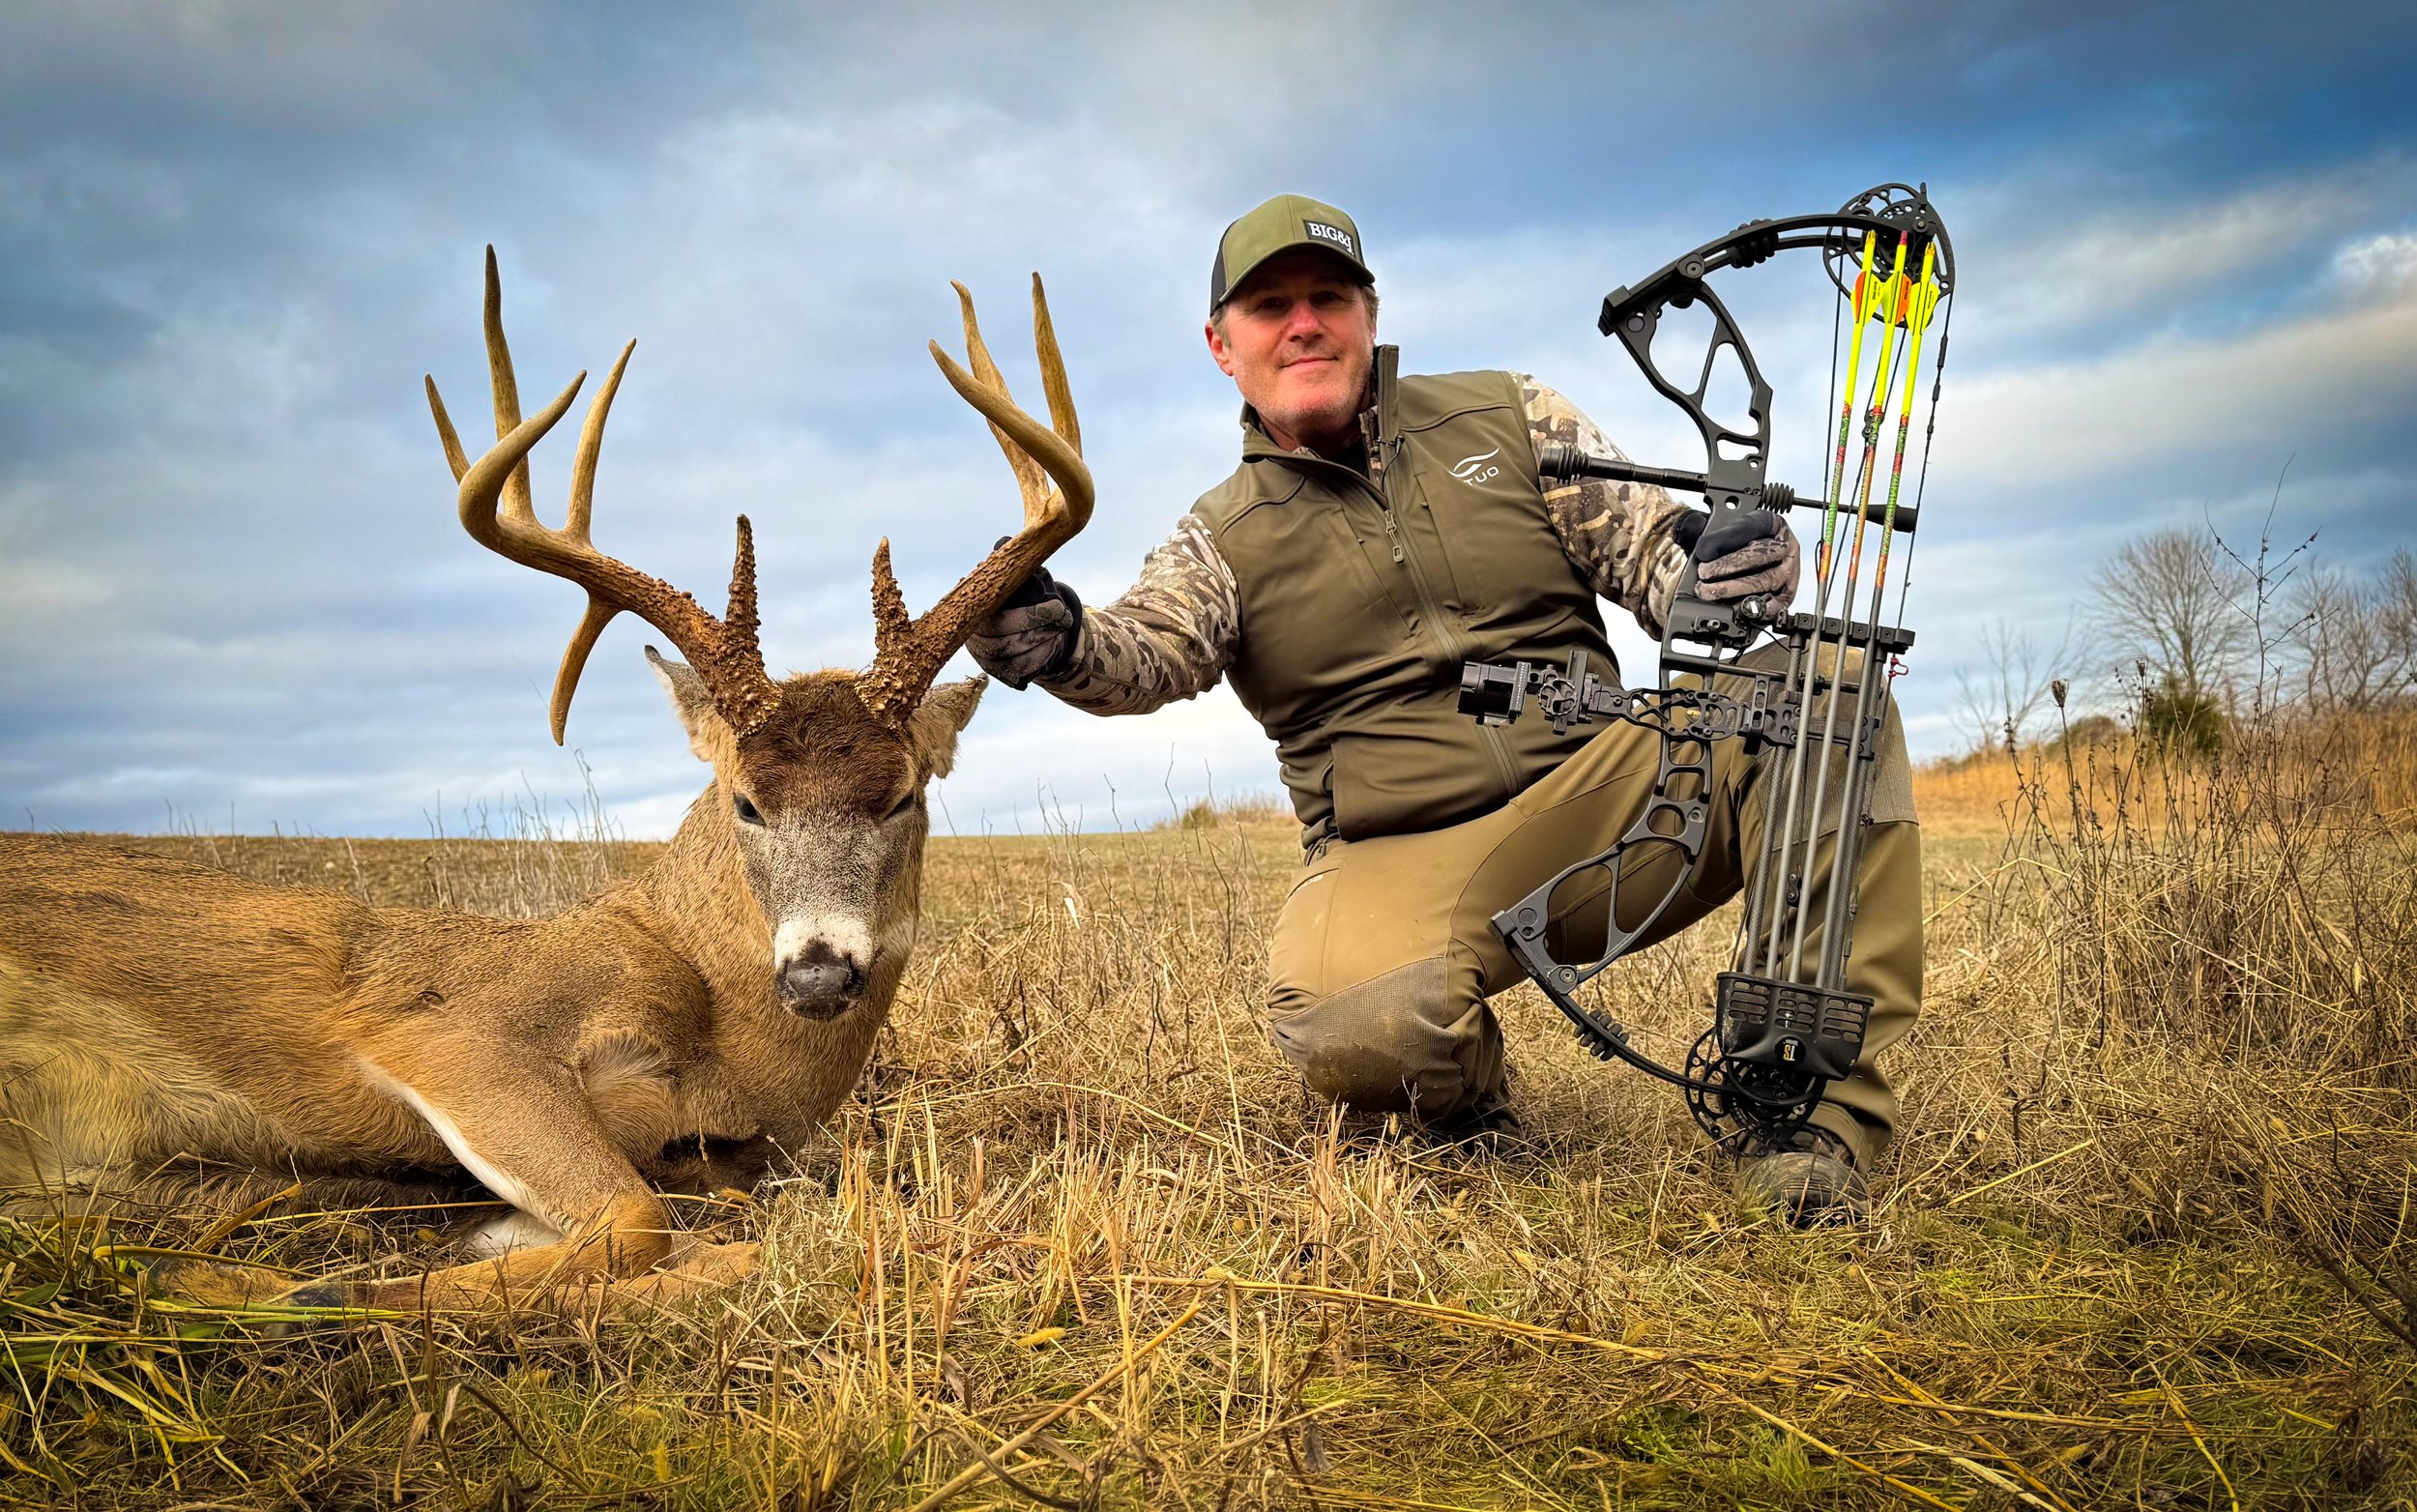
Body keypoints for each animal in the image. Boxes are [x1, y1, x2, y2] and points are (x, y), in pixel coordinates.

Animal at [0, 249, 1092, 1313]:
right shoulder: (456, 1030)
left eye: (901, 793)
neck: (724, 1044)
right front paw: (322, 1282)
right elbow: (639, 1220)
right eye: (745, 799)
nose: (819, 973)